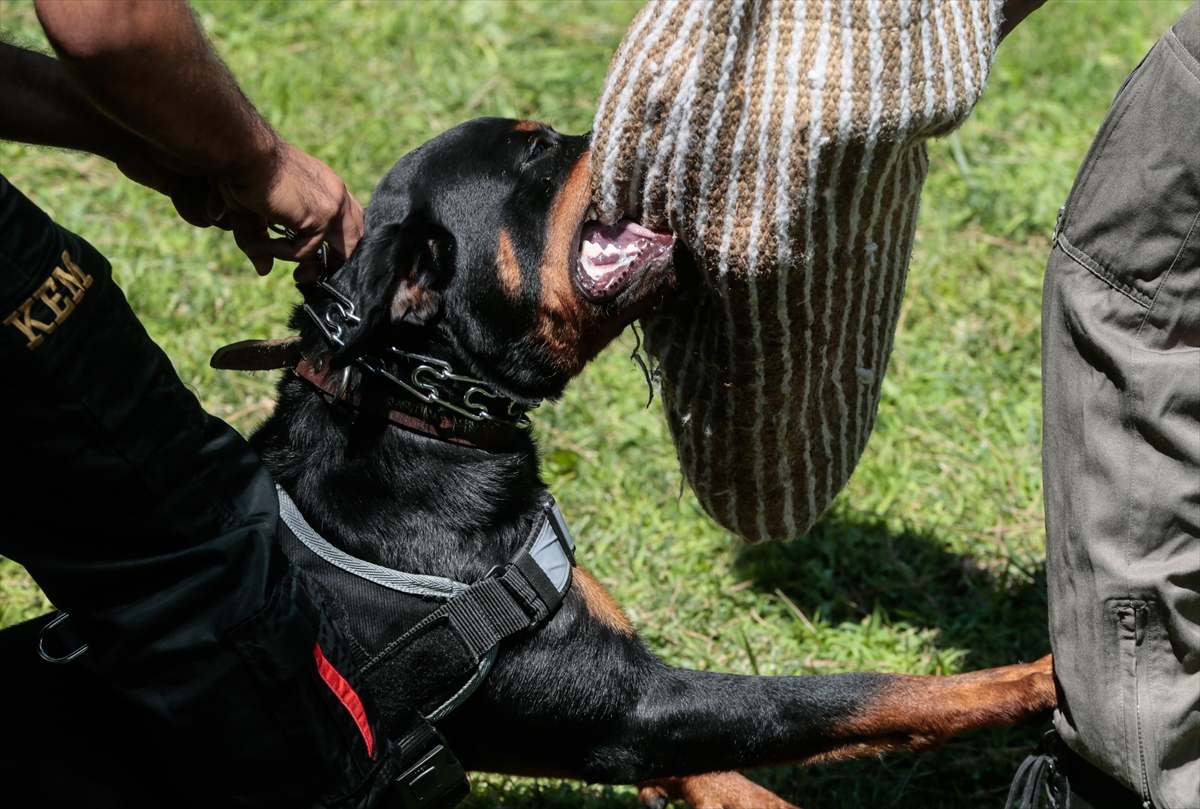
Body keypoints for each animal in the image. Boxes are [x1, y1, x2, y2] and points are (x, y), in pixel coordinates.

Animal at [1, 118, 1054, 809]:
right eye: (540, 150)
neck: (422, 418)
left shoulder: (628, 708)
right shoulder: (629, 706)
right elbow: (855, 696)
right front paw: (1042, 675)